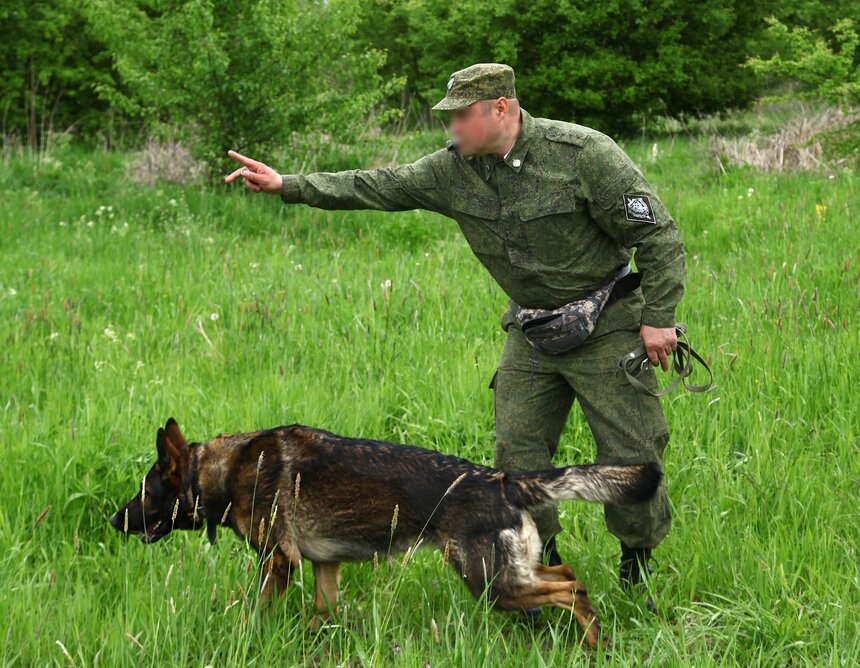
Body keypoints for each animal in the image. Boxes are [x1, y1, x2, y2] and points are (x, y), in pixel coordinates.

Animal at [107, 418, 660, 648]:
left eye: (145, 490)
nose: (114, 521)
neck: (222, 471)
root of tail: (499, 479)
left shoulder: (278, 563)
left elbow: (254, 613)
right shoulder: (323, 567)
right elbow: (322, 615)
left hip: (493, 585)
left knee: (571, 587)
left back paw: (595, 646)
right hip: (508, 577)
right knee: (567, 575)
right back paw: (595, 643)